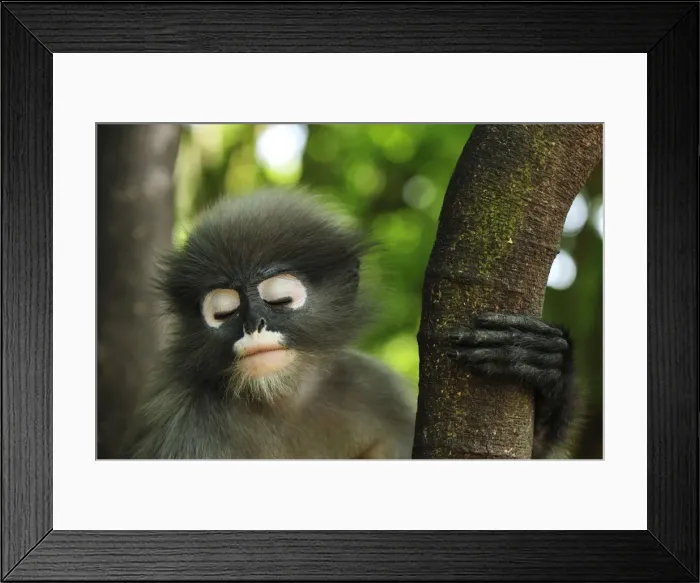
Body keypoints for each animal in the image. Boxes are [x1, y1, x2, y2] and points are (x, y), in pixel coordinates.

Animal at [124, 187, 579, 460]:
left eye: (280, 299)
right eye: (224, 312)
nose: (253, 324)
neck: (284, 399)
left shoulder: (375, 387)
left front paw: (543, 365)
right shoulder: (186, 423)